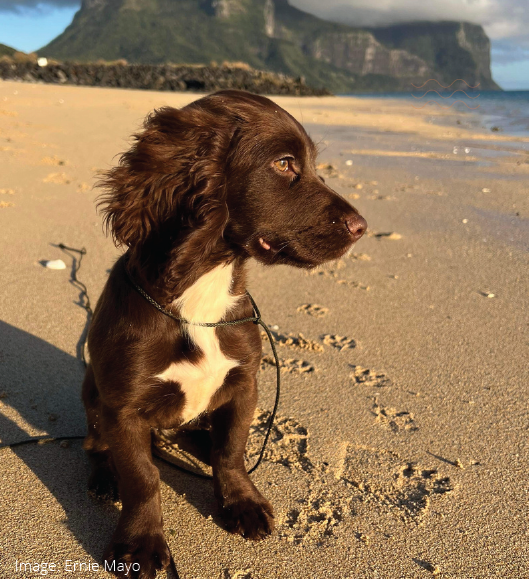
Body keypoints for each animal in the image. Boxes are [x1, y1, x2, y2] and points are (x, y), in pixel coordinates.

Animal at [82, 88, 366, 576]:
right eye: (284, 164)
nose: (362, 228)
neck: (199, 298)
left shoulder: (244, 383)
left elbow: (231, 450)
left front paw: (242, 503)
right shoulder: (124, 408)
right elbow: (142, 477)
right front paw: (139, 543)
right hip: (92, 391)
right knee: (96, 443)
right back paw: (105, 477)